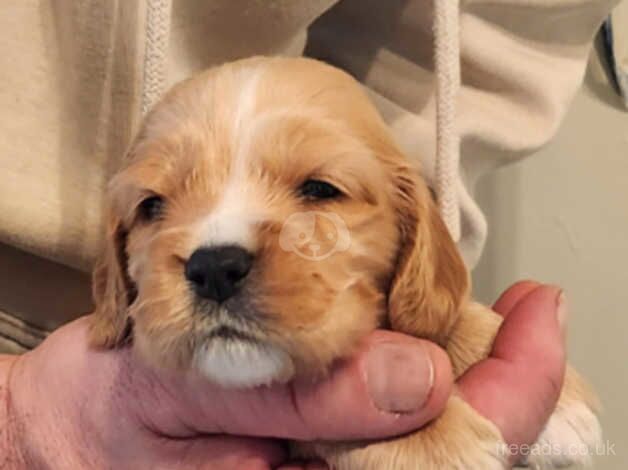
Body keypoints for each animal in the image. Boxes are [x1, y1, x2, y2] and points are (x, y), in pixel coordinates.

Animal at [89, 57, 604, 468]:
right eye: (152, 206)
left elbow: (442, 313)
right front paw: (426, 444)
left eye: (320, 189)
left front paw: (564, 406)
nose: (214, 268)